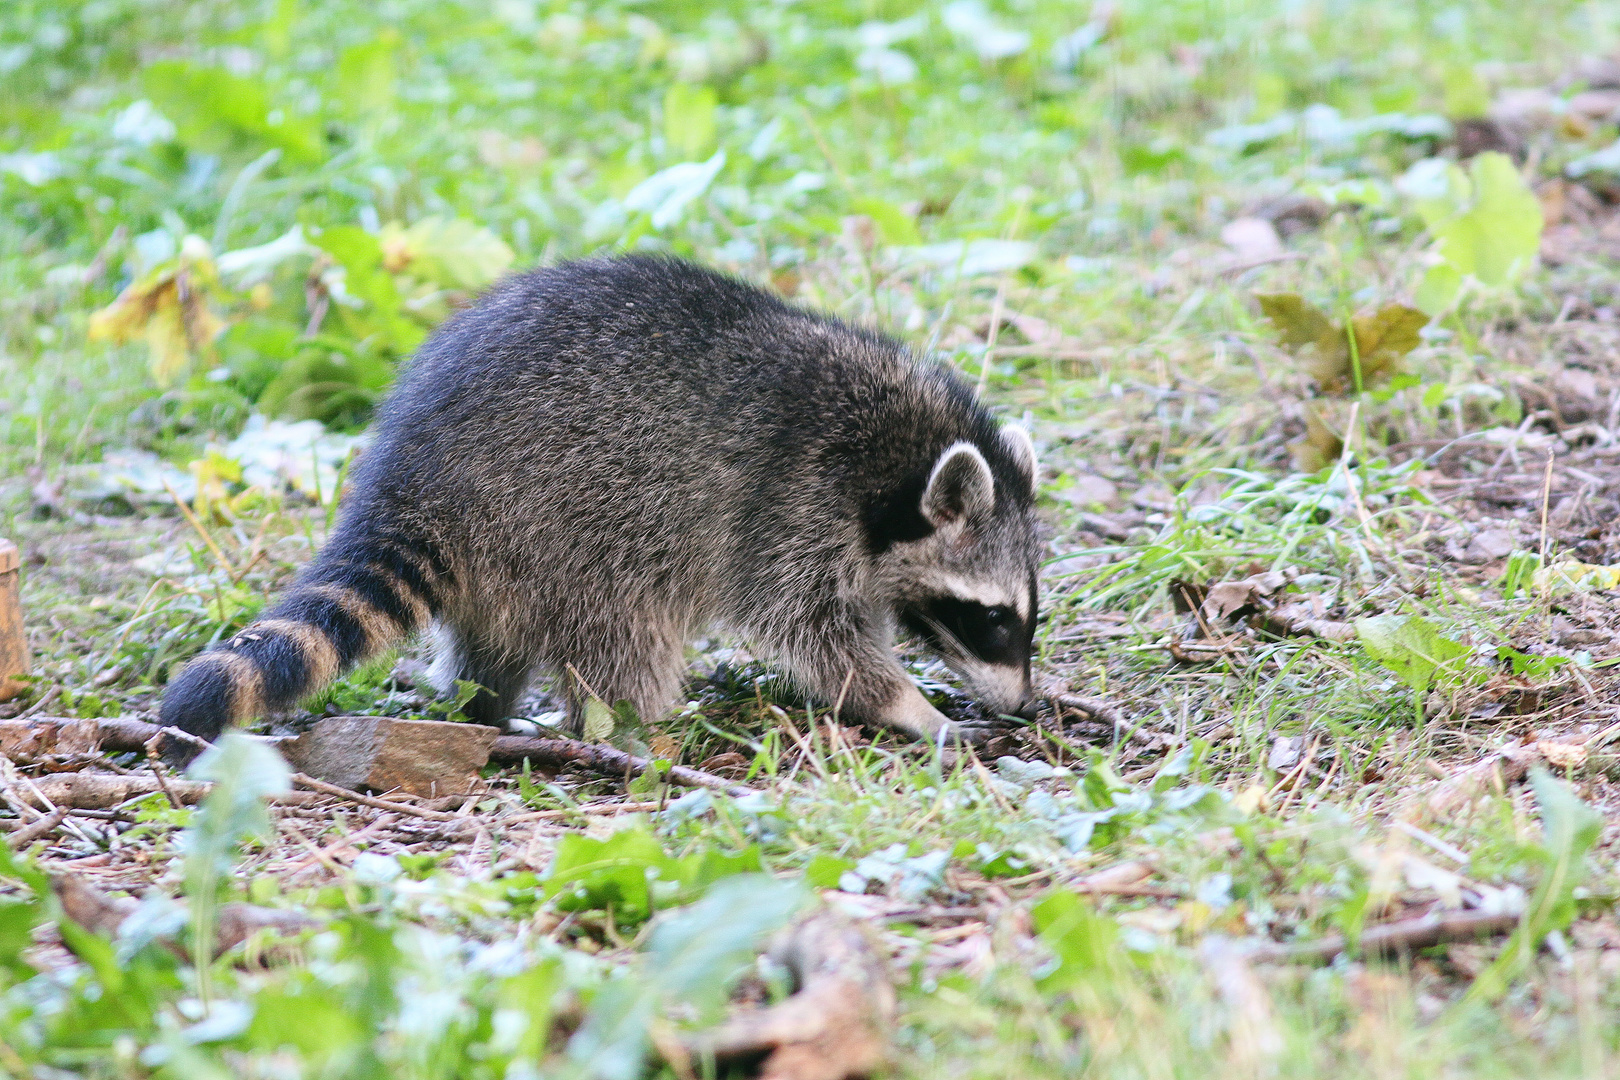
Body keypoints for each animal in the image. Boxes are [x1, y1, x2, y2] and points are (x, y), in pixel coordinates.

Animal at [164, 257, 1043, 748]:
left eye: (1023, 616)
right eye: (991, 617)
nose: (1024, 707)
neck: (896, 457)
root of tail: (409, 479)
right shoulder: (791, 508)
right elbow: (818, 636)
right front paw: (907, 705)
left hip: (512, 550)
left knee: (494, 636)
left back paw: (485, 706)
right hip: (580, 520)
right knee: (626, 631)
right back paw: (637, 723)